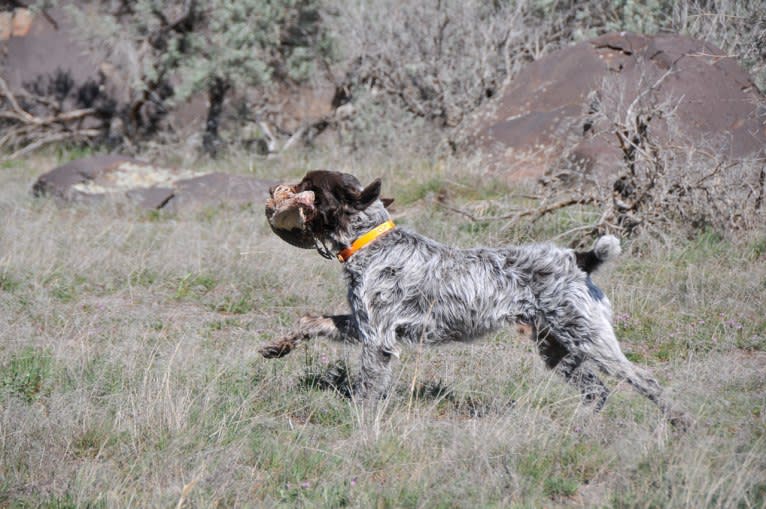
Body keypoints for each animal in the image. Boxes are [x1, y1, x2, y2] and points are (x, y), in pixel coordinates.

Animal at [260, 170, 688, 424]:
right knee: (597, 392)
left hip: (588, 339)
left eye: (309, 185)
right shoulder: (362, 325)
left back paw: (679, 424)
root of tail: (578, 258)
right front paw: (280, 345)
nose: (273, 190)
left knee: (644, 379)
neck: (372, 242)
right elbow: (311, 321)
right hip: (556, 348)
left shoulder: (378, 340)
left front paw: (361, 423)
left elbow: (367, 387)